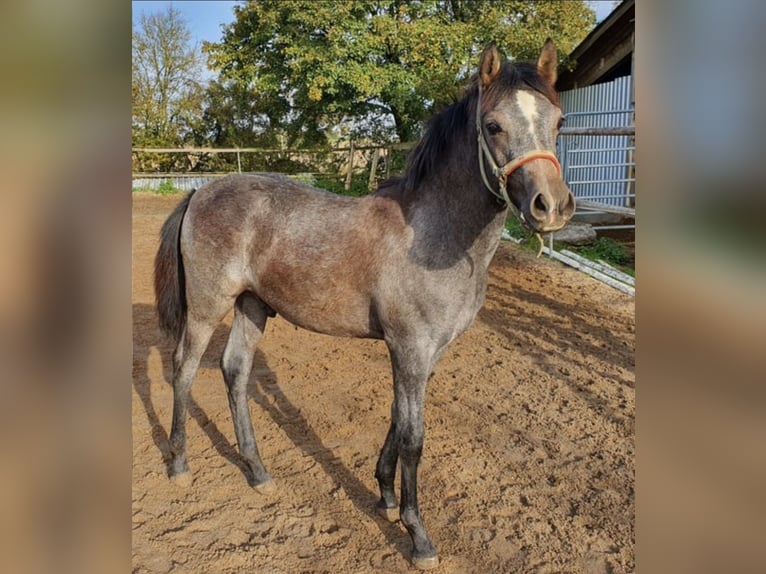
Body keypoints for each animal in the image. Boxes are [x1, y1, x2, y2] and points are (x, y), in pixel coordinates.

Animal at [154, 40, 576, 572]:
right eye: (493, 125)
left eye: (558, 121)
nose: (551, 207)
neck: (433, 234)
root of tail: (200, 190)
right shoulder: (410, 348)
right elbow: (414, 437)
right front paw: (417, 535)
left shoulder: (426, 353)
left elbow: (397, 420)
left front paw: (386, 496)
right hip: (208, 306)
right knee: (184, 369)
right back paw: (179, 463)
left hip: (253, 306)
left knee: (235, 371)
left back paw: (256, 470)